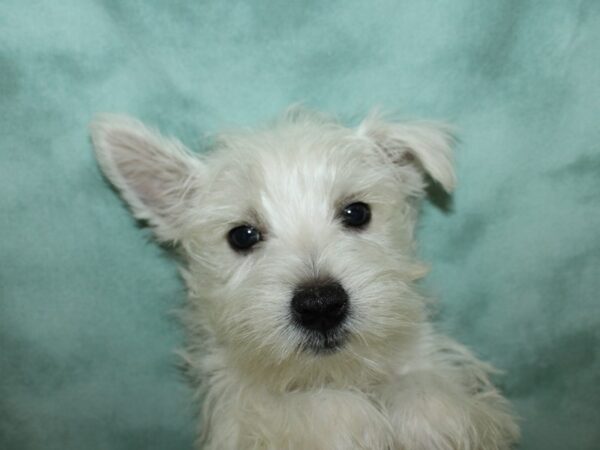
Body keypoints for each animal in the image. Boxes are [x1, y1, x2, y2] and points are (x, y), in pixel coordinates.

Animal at [91, 109, 516, 450]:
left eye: (357, 212)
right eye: (242, 235)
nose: (320, 305)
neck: (333, 373)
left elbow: (428, 387)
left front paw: (433, 421)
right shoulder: (242, 408)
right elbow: (306, 410)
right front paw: (358, 423)